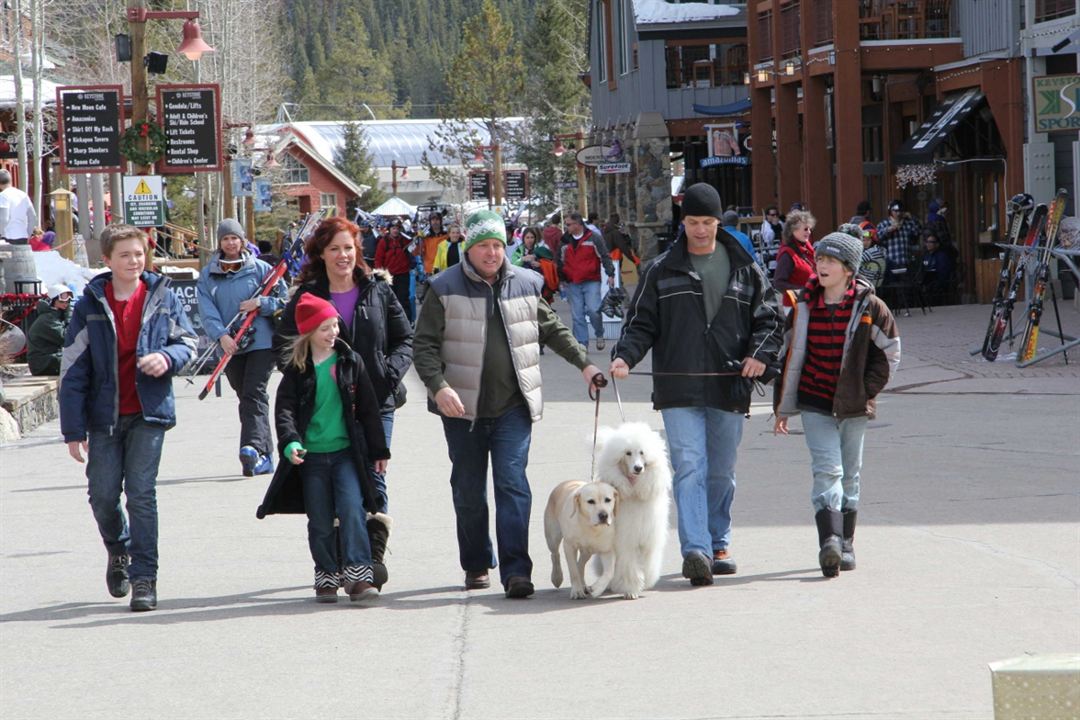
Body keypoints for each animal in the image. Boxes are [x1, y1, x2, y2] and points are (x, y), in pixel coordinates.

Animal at [596, 418, 669, 600]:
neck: (635, 490)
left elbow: (649, 561)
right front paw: (630, 590)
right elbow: (628, 564)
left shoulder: (649, 537)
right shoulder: (626, 540)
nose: (638, 468)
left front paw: (647, 581)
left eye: (642, 453)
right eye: (627, 453)